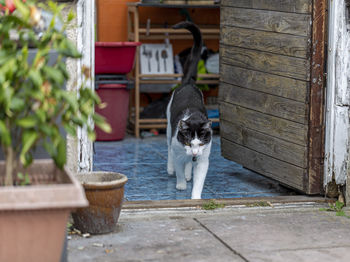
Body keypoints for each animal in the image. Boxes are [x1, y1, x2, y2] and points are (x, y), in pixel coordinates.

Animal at [166, 22, 212, 199]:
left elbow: (199, 180)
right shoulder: (178, 151)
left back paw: (188, 173)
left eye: (200, 143)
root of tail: (187, 84)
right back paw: (171, 169)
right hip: (169, 129)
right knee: (169, 150)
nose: (194, 153)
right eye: (187, 141)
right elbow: (178, 167)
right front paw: (181, 185)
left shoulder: (203, 159)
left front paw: (195, 198)